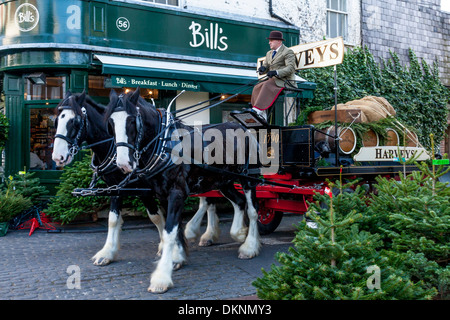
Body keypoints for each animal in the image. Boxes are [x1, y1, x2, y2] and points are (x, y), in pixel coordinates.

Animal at [105, 89, 260, 294]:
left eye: (131, 120)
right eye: (111, 122)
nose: (123, 164)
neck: (164, 145)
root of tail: (243, 128)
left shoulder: (177, 193)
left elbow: (170, 230)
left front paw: (161, 277)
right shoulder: (164, 195)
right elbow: (174, 227)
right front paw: (177, 257)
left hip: (248, 178)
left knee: (253, 210)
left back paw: (249, 247)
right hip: (223, 181)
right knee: (239, 202)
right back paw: (239, 232)